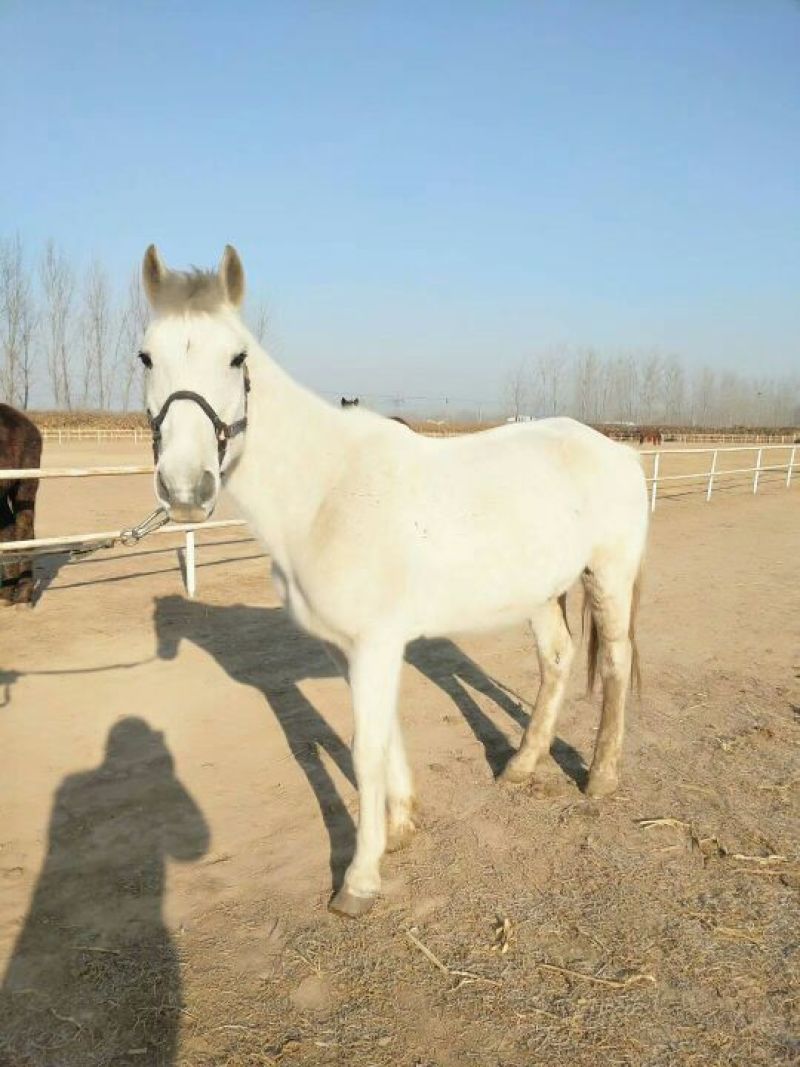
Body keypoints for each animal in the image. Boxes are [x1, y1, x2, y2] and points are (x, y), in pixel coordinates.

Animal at [138, 244, 649, 918]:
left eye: (237, 357)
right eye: (146, 355)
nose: (185, 489)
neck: (326, 492)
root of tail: (619, 450)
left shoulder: (376, 643)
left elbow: (364, 747)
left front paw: (359, 880)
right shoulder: (350, 648)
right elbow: (383, 738)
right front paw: (402, 827)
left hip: (609, 575)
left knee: (614, 664)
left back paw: (601, 777)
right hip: (541, 591)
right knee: (559, 660)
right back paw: (521, 765)